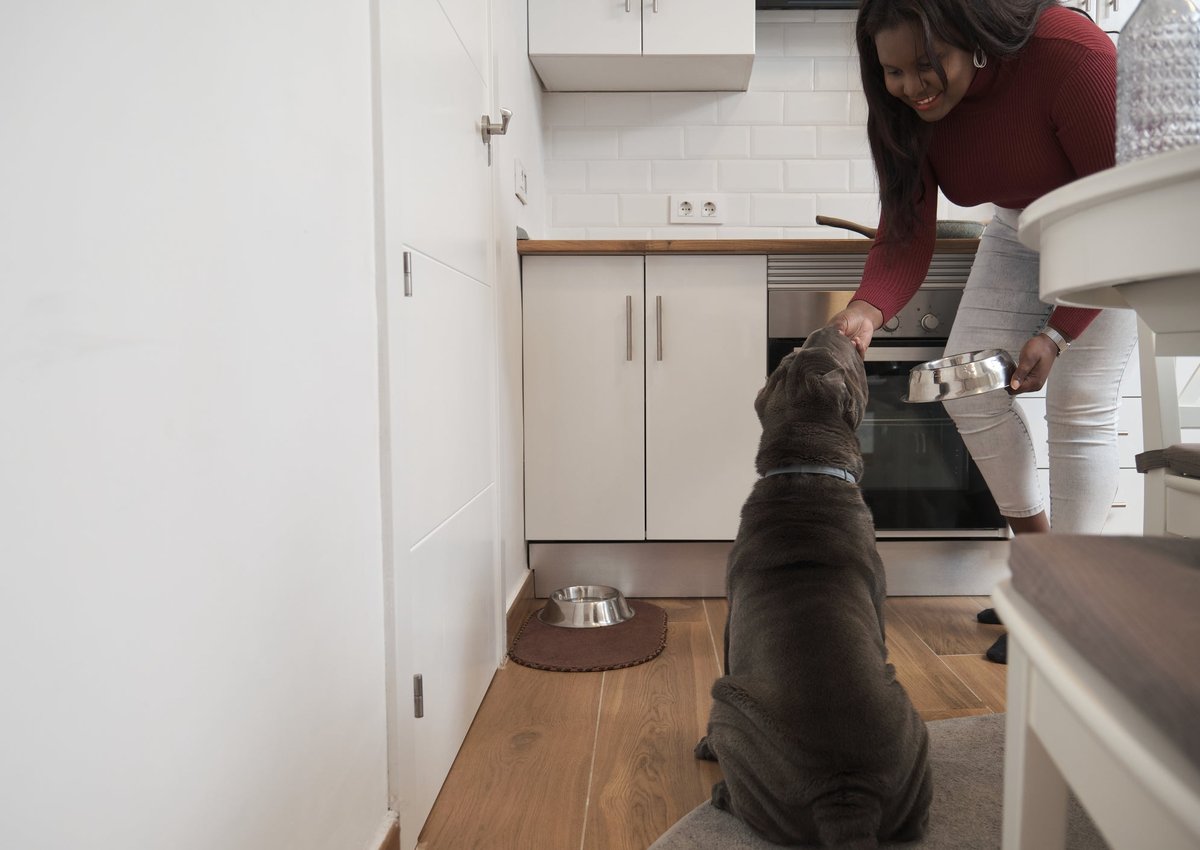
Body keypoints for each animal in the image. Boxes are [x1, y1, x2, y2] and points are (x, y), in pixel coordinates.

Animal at [696, 326, 936, 850]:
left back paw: (720, 789)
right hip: (915, 729)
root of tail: (846, 794)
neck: (805, 468)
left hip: (728, 705)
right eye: (795, 353)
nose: (833, 328)